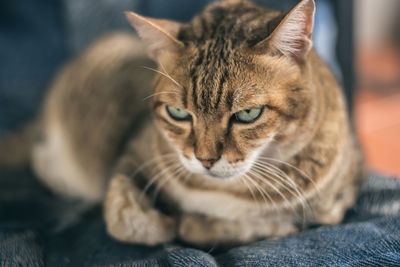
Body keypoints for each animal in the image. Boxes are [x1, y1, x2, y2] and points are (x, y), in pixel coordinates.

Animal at [1, 0, 364, 247]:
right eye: (178, 113)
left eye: (247, 115)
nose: (205, 160)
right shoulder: (130, 155)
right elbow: (123, 215)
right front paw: (162, 221)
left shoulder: (336, 204)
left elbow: (246, 225)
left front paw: (193, 223)